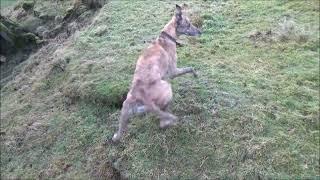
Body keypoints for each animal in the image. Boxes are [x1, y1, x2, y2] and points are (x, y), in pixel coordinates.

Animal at [112, 3, 201, 142]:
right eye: (188, 24)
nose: (200, 32)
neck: (166, 37)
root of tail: (140, 95)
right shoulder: (173, 71)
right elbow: (190, 68)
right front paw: (196, 74)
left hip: (126, 107)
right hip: (167, 88)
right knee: (162, 119)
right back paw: (168, 120)